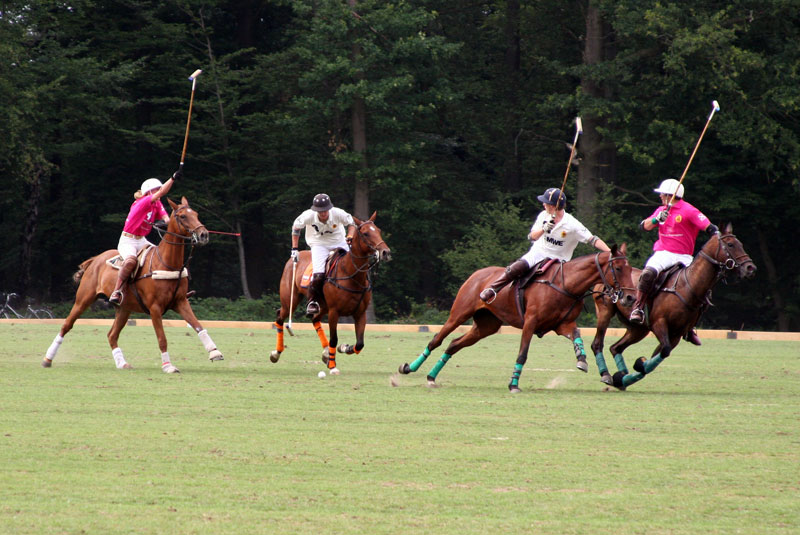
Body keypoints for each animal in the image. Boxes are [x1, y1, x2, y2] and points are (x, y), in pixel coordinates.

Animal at [42, 197, 223, 372]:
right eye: (183, 216)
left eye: (197, 214)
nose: (203, 235)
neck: (168, 263)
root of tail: (95, 260)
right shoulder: (155, 307)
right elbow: (162, 338)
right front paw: (168, 366)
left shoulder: (180, 302)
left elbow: (198, 326)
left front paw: (215, 352)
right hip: (83, 299)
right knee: (66, 325)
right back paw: (47, 359)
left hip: (124, 308)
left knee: (112, 335)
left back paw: (122, 363)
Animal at [270, 211, 392, 374]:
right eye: (366, 233)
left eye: (378, 230)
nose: (385, 252)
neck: (351, 274)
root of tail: (291, 262)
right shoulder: (334, 312)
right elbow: (334, 339)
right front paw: (333, 366)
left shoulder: (360, 313)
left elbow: (359, 343)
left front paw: (344, 348)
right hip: (291, 299)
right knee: (280, 317)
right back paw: (276, 353)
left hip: (322, 305)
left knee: (315, 319)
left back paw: (326, 353)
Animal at [396, 245, 636, 392]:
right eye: (617, 267)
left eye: (629, 267)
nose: (631, 297)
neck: (565, 284)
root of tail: (476, 274)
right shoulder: (530, 322)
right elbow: (522, 353)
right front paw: (513, 384)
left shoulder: (562, 324)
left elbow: (576, 335)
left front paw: (584, 362)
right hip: (459, 313)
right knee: (436, 340)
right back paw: (409, 368)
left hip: (486, 325)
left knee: (454, 344)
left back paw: (431, 377)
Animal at [592, 224, 760, 392]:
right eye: (730, 244)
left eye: (741, 244)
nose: (750, 268)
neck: (688, 286)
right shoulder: (659, 323)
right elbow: (663, 351)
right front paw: (636, 367)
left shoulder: (676, 334)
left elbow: (657, 357)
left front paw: (630, 372)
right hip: (606, 312)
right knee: (598, 343)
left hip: (639, 329)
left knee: (616, 348)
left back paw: (621, 377)